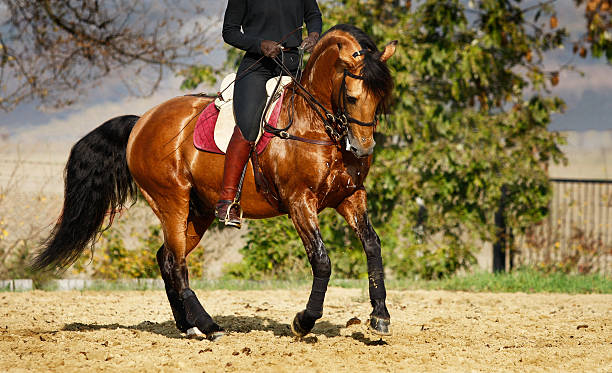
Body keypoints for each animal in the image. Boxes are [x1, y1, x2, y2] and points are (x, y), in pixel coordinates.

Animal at [32, 22, 396, 338]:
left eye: (380, 98)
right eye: (352, 97)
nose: (362, 149)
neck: (315, 124)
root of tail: (141, 122)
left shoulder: (350, 196)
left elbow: (372, 245)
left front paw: (380, 316)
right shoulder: (300, 202)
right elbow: (321, 260)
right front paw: (303, 322)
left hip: (199, 211)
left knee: (166, 258)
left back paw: (188, 326)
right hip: (172, 201)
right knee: (177, 263)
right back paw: (209, 327)